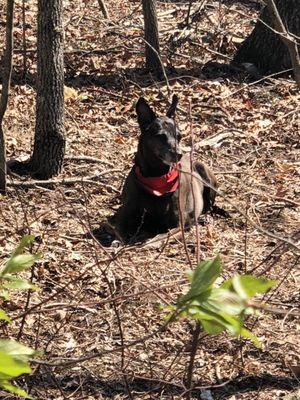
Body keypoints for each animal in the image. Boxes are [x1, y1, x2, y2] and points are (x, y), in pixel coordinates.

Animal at [111, 95, 217, 242]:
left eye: (179, 136)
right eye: (160, 136)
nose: (179, 154)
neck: (156, 176)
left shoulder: (179, 225)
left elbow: (157, 239)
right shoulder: (123, 216)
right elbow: (119, 233)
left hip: (205, 173)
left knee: (210, 206)